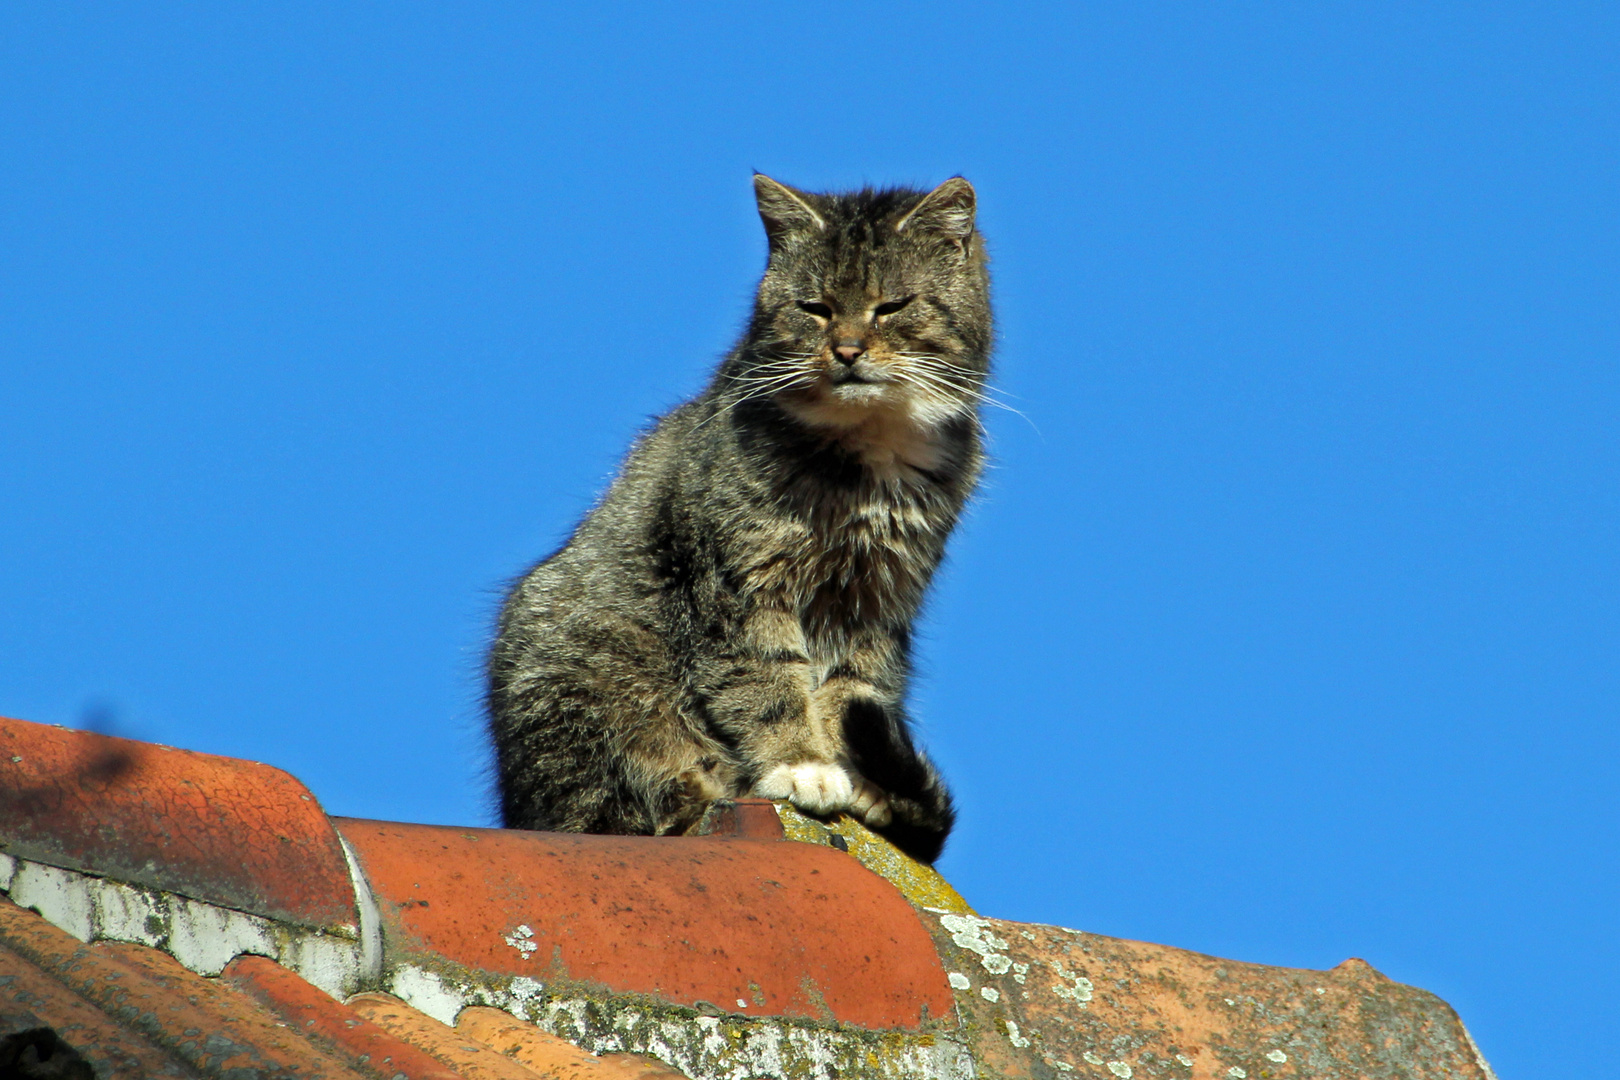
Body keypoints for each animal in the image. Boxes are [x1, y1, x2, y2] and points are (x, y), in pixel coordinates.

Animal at [482, 173, 984, 867]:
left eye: (891, 306)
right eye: (814, 308)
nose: (847, 350)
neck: (866, 454)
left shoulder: (875, 603)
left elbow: (849, 690)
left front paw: (848, 771)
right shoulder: (736, 580)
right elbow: (765, 675)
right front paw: (801, 763)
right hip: (581, 669)